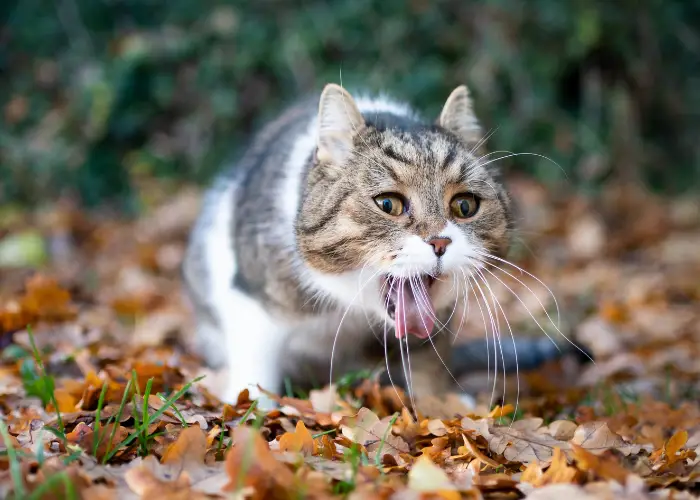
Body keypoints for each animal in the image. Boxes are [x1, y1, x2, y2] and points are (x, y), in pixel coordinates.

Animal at [180, 83, 584, 410]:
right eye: (388, 204)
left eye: (465, 206)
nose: (440, 241)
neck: (350, 307)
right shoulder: (252, 296)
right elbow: (256, 360)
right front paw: (250, 408)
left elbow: (428, 361)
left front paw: (441, 405)